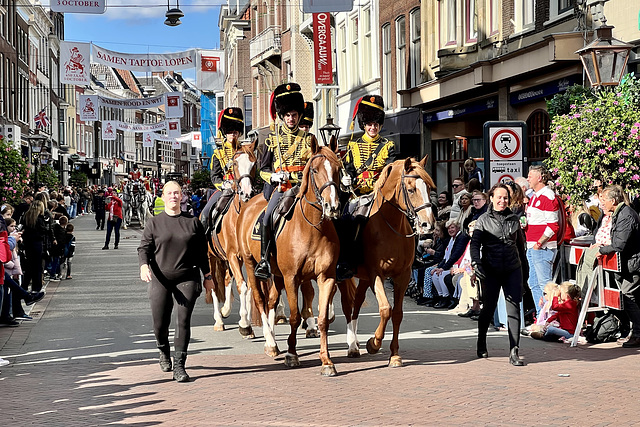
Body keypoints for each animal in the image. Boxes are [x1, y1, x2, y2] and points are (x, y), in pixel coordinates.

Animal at [204, 144, 256, 338]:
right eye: (234, 163)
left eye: (253, 162)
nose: (246, 192)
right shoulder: (233, 255)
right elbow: (243, 286)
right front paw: (244, 324)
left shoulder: (245, 258)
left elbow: (248, 287)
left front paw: (245, 322)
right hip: (211, 257)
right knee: (213, 284)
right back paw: (219, 320)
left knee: (226, 279)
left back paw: (225, 310)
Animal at [236, 139, 344, 376]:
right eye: (315, 170)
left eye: (338, 169)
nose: (332, 207)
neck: (313, 227)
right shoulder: (291, 277)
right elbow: (295, 316)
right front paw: (292, 354)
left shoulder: (326, 277)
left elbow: (323, 319)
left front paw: (326, 361)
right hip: (250, 263)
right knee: (260, 299)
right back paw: (270, 342)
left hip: (276, 275)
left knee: (272, 301)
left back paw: (272, 341)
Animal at [344, 157, 436, 368]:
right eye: (411, 189)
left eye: (428, 187)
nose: (428, 224)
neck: (390, 226)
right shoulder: (375, 274)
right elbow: (385, 309)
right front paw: (374, 343)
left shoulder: (403, 275)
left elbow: (397, 313)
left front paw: (394, 355)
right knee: (346, 306)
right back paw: (352, 345)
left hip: (362, 278)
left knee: (357, 302)